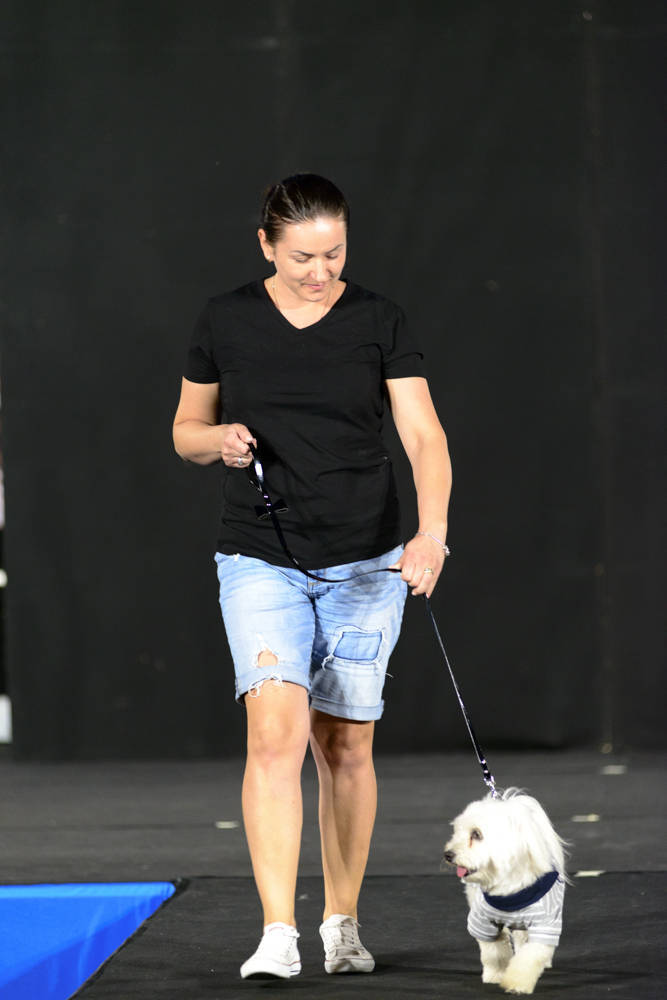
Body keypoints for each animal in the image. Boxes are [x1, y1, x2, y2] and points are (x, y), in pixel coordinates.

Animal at [443, 788, 569, 995]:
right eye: (457, 832)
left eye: (476, 834)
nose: (448, 854)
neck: (510, 892)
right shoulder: (484, 922)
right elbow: (494, 952)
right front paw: (495, 975)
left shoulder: (545, 924)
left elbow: (530, 956)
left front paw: (516, 983)